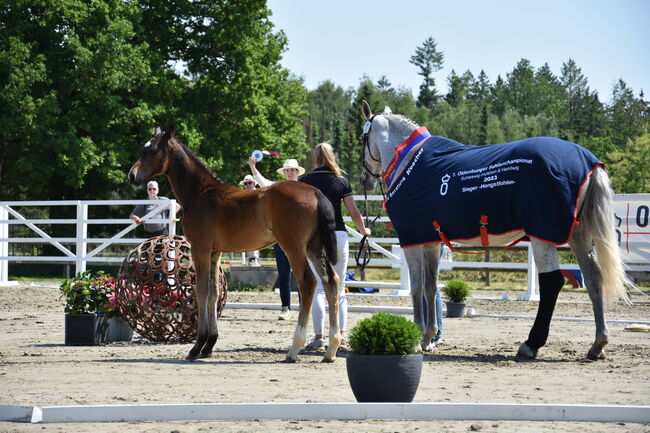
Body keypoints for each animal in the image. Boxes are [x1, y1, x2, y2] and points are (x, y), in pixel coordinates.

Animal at [125, 125, 340, 362]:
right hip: (313, 247)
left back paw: (294, 349)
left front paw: (196, 347)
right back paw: (331, 350)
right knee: (331, 281)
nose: (132, 176)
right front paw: (208, 346)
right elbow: (213, 292)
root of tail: (315, 192)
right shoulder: (215, 252)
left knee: (308, 283)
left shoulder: (200, 248)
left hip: (293, 247)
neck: (200, 193)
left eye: (153, 150)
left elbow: (201, 291)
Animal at [356, 99, 632, 360]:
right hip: (578, 234)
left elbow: (416, 289)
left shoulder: (411, 240)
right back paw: (598, 344)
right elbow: (431, 288)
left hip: (543, 234)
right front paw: (428, 338)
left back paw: (531, 344)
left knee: (552, 283)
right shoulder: (430, 242)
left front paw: (415, 339)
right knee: (594, 278)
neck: (408, 161)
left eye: (362, 138)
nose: (363, 179)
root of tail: (589, 163)